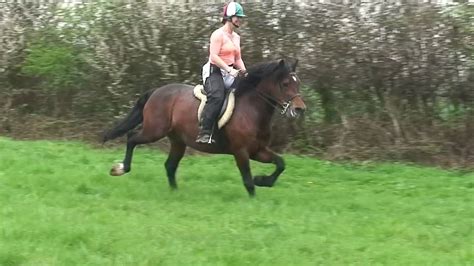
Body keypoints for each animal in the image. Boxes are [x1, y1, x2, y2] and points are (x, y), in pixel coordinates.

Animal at [102, 59, 306, 196]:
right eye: (285, 83)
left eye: (298, 83)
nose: (300, 109)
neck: (252, 110)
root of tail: (156, 91)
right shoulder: (241, 151)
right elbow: (248, 180)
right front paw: (255, 194)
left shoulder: (258, 150)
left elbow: (281, 163)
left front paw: (264, 181)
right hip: (154, 131)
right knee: (131, 138)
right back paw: (120, 168)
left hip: (178, 140)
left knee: (170, 165)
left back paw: (175, 193)